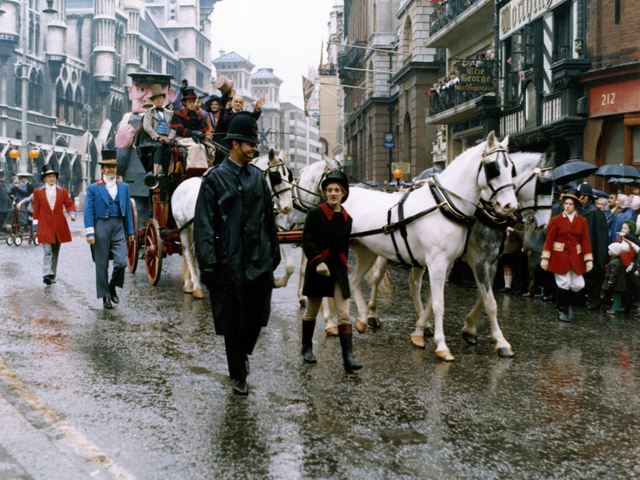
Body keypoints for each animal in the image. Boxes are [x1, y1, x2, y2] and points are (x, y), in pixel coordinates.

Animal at [169, 150, 292, 300]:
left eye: (288, 175)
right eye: (276, 177)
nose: (287, 207)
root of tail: (182, 185)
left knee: (192, 253)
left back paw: (189, 284)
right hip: (183, 227)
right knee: (187, 252)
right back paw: (195, 286)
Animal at [344, 131, 516, 360]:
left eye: (512, 168)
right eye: (493, 168)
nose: (510, 206)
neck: (445, 204)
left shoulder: (452, 263)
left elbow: (478, 300)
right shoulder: (443, 262)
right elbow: (439, 304)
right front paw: (441, 345)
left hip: (368, 252)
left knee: (354, 280)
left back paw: (362, 319)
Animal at [364, 153, 556, 356]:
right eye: (544, 185)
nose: (544, 224)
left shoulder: (490, 263)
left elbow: (482, 297)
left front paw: (467, 328)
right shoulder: (476, 261)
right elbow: (489, 301)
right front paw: (500, 341)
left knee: (414, 284)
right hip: (389, 252)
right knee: (377, 277)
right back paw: (372, 314)